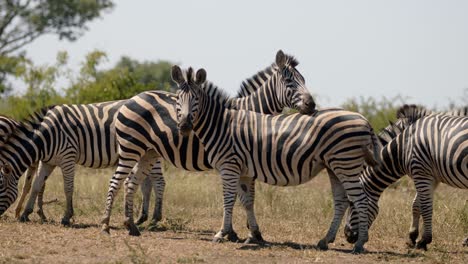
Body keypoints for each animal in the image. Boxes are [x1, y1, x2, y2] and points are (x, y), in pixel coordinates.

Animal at [100, 50, 316, 236]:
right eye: (288, 81)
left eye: (304, 80)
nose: (312, 104)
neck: (252, 112)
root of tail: (132, 98)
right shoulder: (237, 161)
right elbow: (240, 197)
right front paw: (237, 231)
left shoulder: (239, 163)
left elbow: (242, 196)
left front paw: (239, 231)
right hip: (131, 148)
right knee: (116, 181)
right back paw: (106, 225)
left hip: (148, 152)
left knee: (130, 182)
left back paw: (131, 225)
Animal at [148, 66, 382, 254]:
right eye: (178, 99)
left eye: (196, 98)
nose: (184, 126)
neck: (221, 125)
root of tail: (364, 119)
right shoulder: (242, 170)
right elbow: (246, 200)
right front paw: (250, 235)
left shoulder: (229, 166)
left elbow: (228, 199)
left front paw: (222, 233)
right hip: (334, 166)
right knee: (341, 201)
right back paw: (325, 240)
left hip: (346, 164)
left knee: (360, 200)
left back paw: (359, 244)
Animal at [344, 105, 468, 250]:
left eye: (351, 203)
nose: (347, 235)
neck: (403, 147)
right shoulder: (431, 176)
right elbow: (416, 205)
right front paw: (412, 237)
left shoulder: (421, 172)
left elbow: (425, 206)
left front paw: (424, 240)